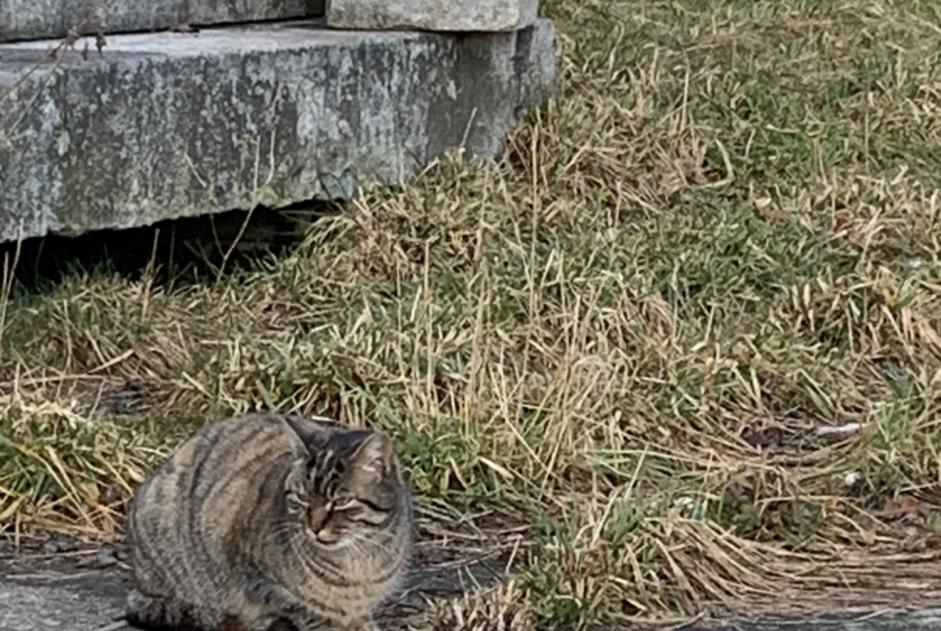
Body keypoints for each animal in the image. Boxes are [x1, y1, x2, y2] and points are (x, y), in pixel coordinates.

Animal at [124, 414, 412, 631]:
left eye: (340, 502)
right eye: (302, 498)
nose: (314, 526)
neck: (356, 560)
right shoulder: (257, 576)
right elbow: (307, 610)